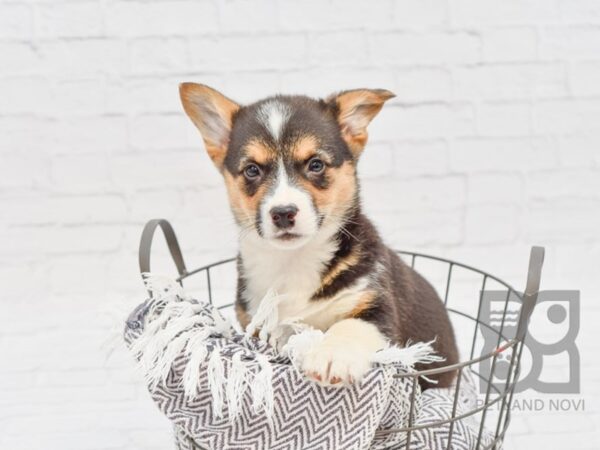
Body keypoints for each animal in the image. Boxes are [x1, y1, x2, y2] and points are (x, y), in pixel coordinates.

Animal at [180, 83, 458, 390]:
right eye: (252, 170)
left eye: (315, 165)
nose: (283, 213)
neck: (294, 261)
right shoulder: (256, 324)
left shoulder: (376, 306)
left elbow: (350, 325)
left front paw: (331, 356)